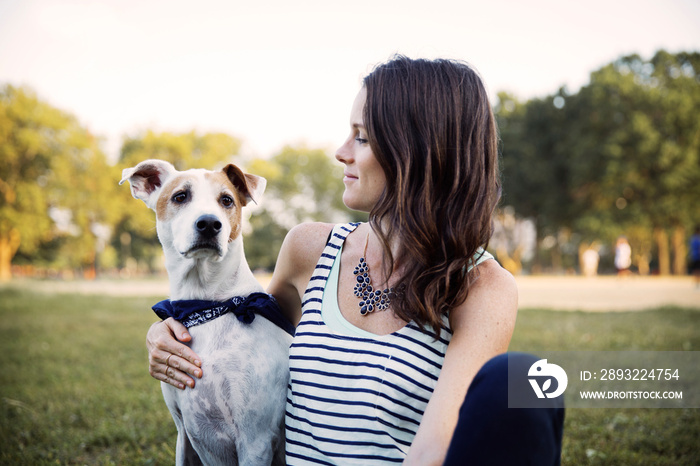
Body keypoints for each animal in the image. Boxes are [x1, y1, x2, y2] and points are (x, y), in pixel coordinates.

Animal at [121, 160, 292, 466]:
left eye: (226, 200)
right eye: (180, 196)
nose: (210, 223)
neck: (208, 305)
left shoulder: (255, 440)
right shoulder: (183, 434)